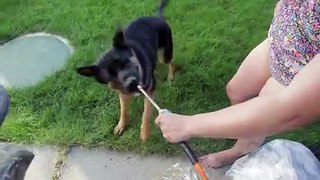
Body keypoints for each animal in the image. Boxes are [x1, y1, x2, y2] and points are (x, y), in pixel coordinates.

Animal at [76, 0, 174, 142]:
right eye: (110, 75)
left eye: (126, 62)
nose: (133, 84)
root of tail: (157, 17)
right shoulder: (122, 93)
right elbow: (123, 110)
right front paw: (121, 125)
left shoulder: (149, 91)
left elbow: (146, 113)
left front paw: (144, 134)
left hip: (164, 54)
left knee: (171, 62)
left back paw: (171, 76)